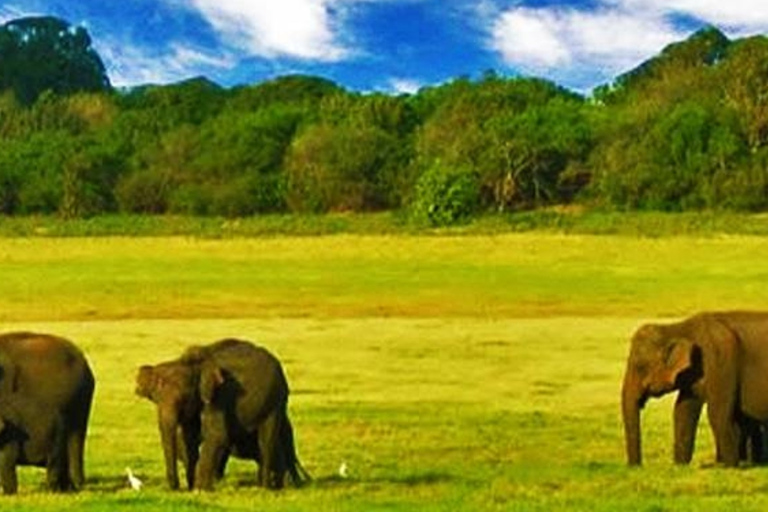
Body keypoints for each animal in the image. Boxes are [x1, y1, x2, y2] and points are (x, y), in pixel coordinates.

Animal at [620, 312, 768, 468]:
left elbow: (716, 413)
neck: (676, 328)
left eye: (639, 367)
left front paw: (729, 467)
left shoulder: (720, 360)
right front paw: (680, 466)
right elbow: (683, 410)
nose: (636, 466)